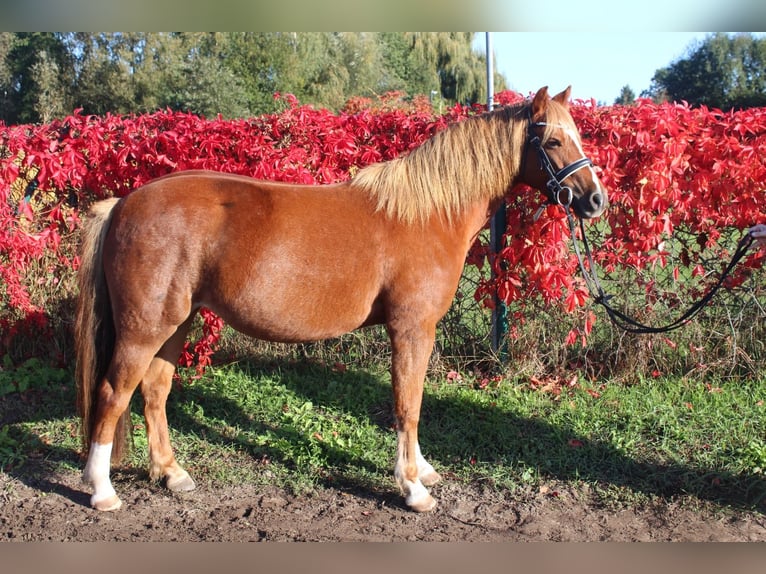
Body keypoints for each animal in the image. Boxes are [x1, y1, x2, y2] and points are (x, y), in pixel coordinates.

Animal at [75, 88, 608, 516]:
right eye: (553, 142)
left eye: (579, 136)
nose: (596, 201)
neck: (426, 212)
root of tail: (122, 205)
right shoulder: (412, 329)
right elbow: (408, 404)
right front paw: (412, 489)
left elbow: (412, 402)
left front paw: (422, 470)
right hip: (144, 328)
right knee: (113, 393)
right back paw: (101, 490)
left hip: (176, 323)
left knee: (154, 391)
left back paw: (171, 473)